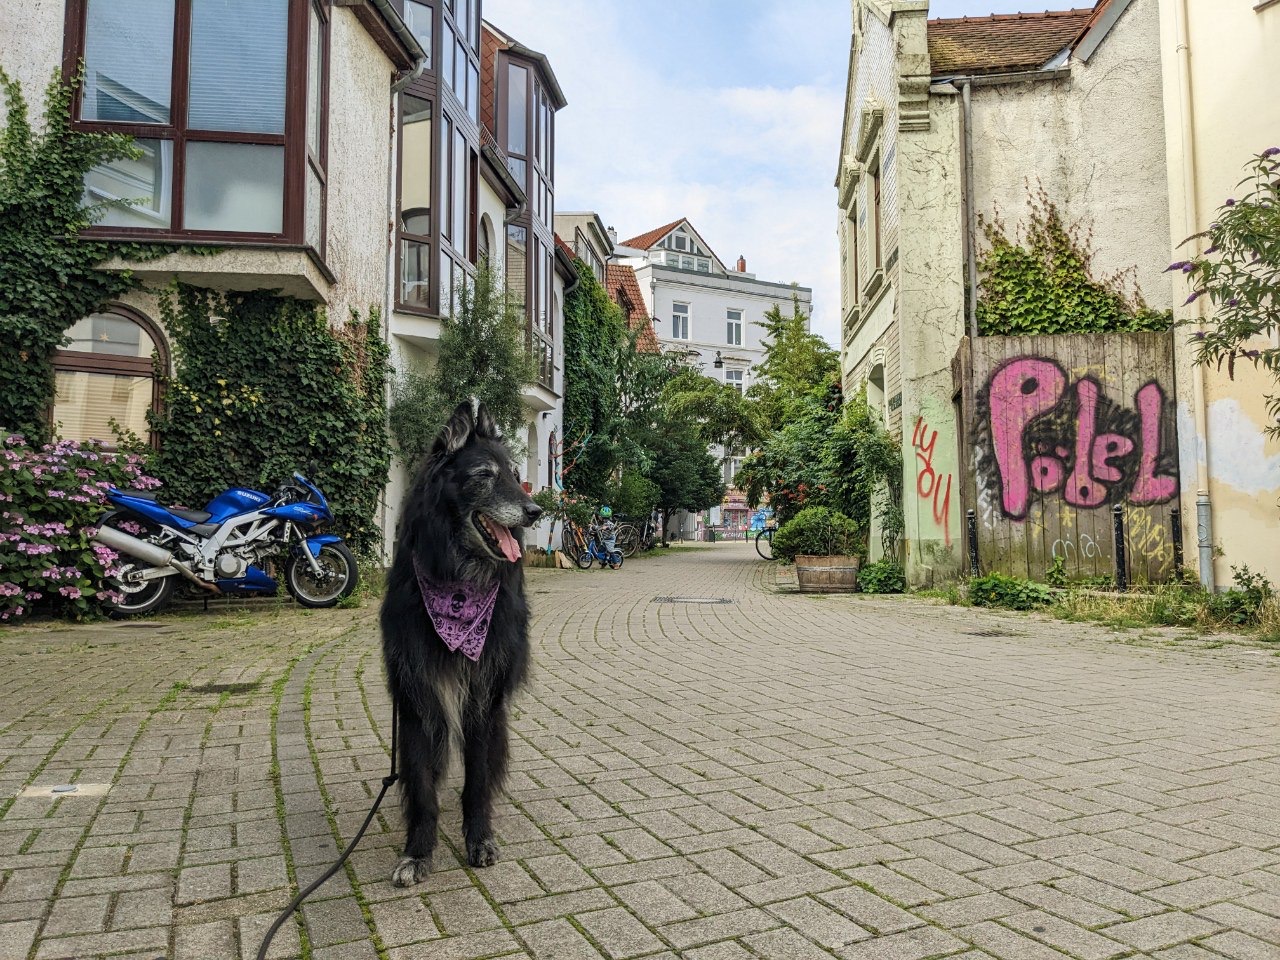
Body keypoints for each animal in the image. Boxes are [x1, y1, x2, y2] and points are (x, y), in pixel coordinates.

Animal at [380, 401, 541, 886]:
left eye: (515, 474)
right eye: (485, 475)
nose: (535, 510)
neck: (456, 583)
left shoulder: (483, 700)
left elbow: (477, 780)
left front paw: (479, 838)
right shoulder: (416, 699)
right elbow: (421, 788)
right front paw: (417, 852)